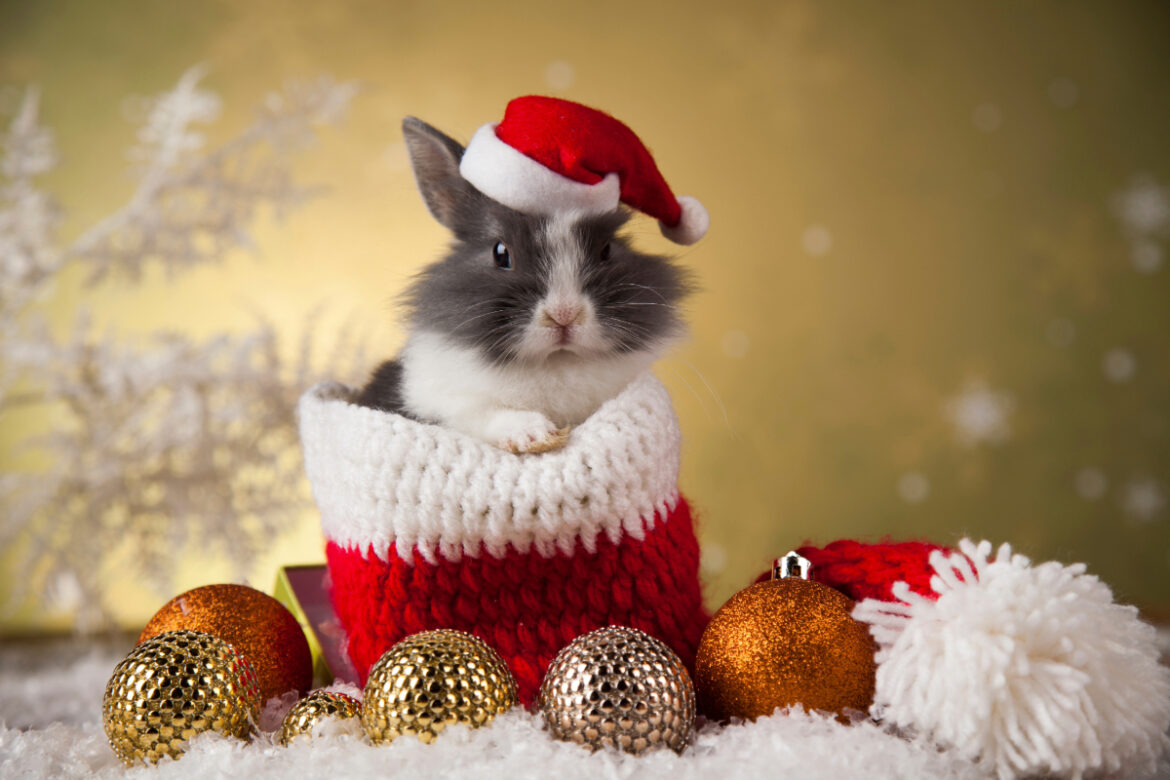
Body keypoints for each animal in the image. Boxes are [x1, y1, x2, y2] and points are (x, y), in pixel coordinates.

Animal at [353, 115, 695, 454]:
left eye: (607, 250)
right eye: (500, 252)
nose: (564, 314)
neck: (554, 360)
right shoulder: (443, 404)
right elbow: (482, 416)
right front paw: (535, 434)